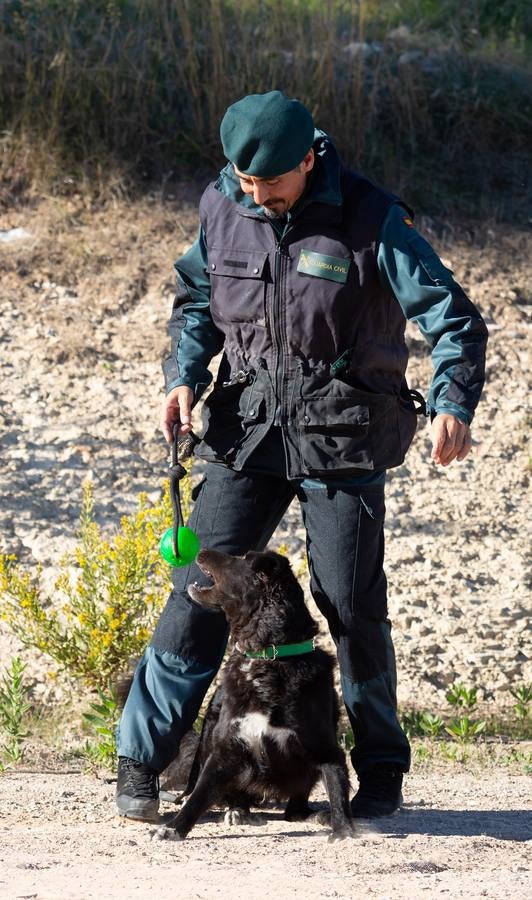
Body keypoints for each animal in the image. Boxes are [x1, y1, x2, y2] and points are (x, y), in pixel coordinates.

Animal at [154, 548, 354, 844]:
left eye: (241, 558)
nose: (203, 550)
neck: (270, 657)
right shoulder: (226, 747)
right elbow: (199, 794)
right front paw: (174, 828)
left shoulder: (325, 748)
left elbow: (337, 787)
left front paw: (343, 830)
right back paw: (238, 810)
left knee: (295, 810)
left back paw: (317, 815)